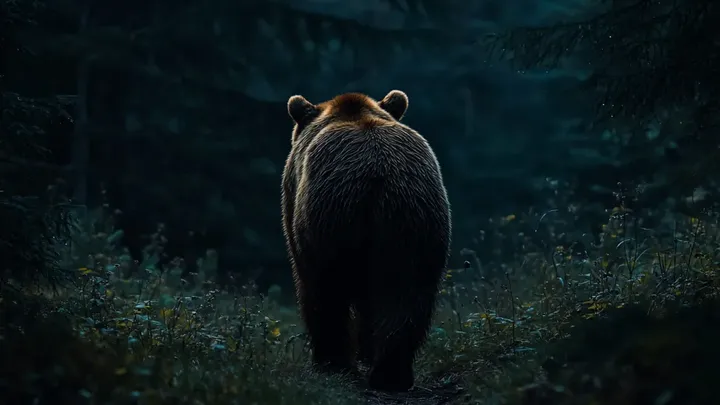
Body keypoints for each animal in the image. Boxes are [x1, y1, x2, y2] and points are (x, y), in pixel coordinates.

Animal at [281, 90, 452, 392]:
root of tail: (377, 175)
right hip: (414, 221)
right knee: (407, 293)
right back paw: (392, 373)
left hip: (331, 219)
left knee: (327, 290)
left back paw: (333, 362)